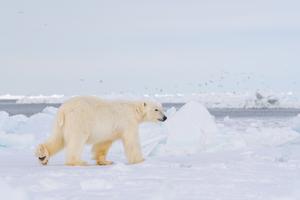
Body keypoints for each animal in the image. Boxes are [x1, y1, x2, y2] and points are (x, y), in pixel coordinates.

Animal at [35, 96, 166, 166]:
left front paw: (105, 161)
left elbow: (103, 143)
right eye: (156, 109)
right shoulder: (128, 122)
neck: (134, 110)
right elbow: (131, 141)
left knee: (57, 138)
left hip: (61, 124)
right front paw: (140, 160)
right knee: (76, 141)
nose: (165, 117)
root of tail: (63, 109)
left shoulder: (110, 130)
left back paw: (42, 156)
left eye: (162, 108)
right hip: (79, 120)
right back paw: (78, 162)